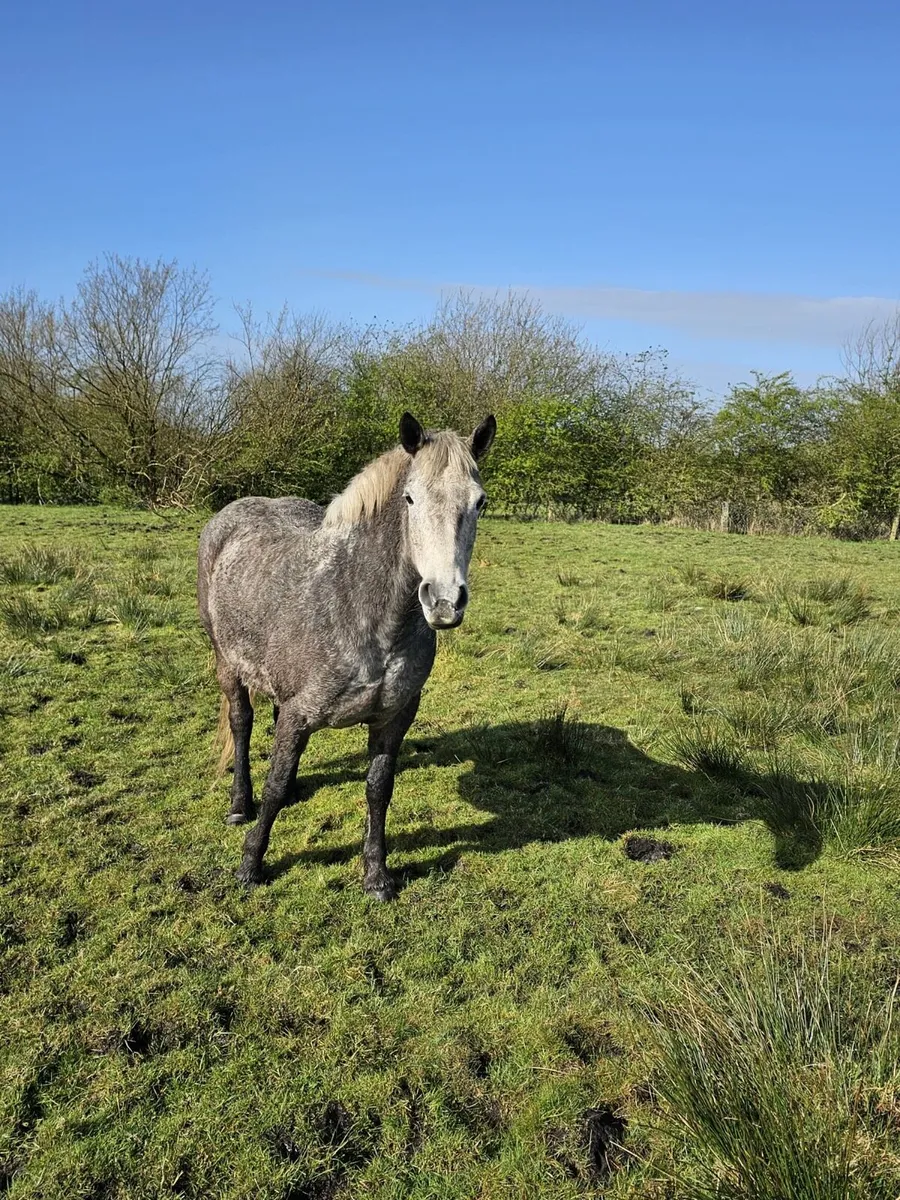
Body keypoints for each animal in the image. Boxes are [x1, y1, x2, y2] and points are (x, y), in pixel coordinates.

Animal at [197, 411, 496, 900]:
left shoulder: (395, 717)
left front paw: (376, 875)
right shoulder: (299, 712)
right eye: (410, 498)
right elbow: (274, 784)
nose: (444, 601)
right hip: (228, 664)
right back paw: (240, 803)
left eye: (479, 503)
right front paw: (250, 865)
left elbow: (378, 789)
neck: (361, 609)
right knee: (241, 723)